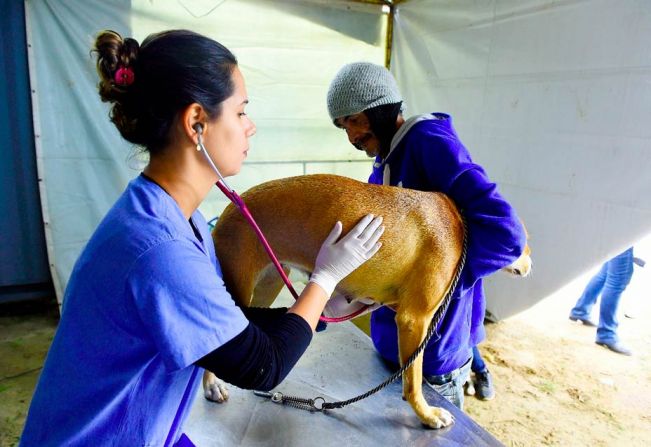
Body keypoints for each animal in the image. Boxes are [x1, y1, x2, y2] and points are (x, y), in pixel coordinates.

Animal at [204, 173, 528, 428]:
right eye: (524, 243)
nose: (530, 267)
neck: (459, 221)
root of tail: (231, 206)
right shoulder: (415, 319)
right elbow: (413, 377)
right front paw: (425, 414)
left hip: (267, 285)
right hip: (238, 288)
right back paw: (211, 385)